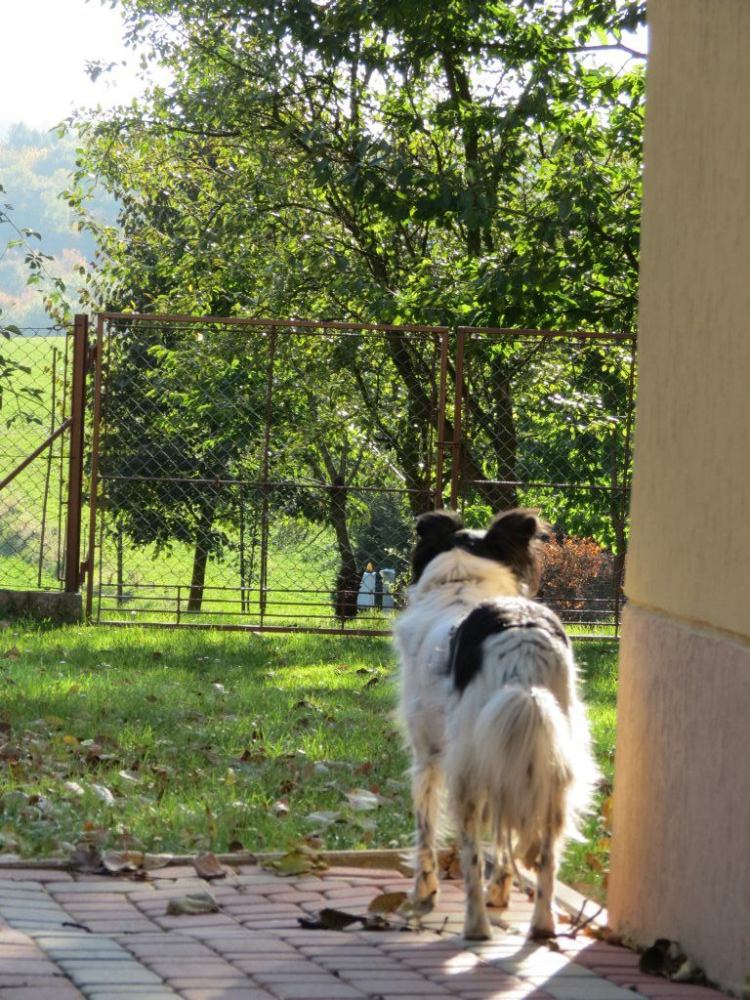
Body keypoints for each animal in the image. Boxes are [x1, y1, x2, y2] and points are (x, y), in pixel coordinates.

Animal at [394, 508, 597, 940]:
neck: (463, 583)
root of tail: (520, 643)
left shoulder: (427, 758)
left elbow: (425, 830)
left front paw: (422, 892)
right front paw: (501, 892)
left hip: (466, 773)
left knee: (470, 855)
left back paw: (476, 927)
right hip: (551, 764)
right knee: (548, 856)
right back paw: (541, 926)